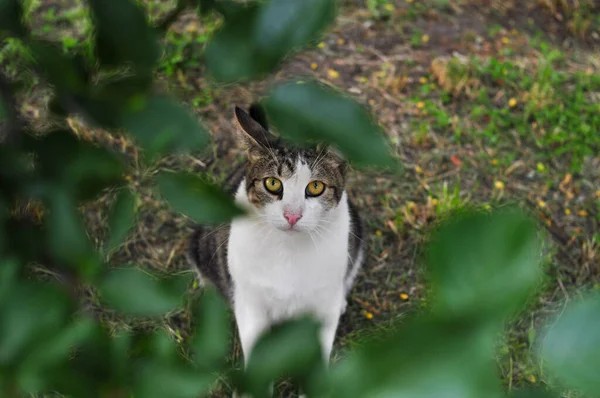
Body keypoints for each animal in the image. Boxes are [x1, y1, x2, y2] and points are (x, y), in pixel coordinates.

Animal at [188, 104, 366, 384]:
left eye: (316, 187)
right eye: (272, 183)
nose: (292, 215)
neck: (288, 250)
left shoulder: (322, 302)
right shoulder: (250, 300)